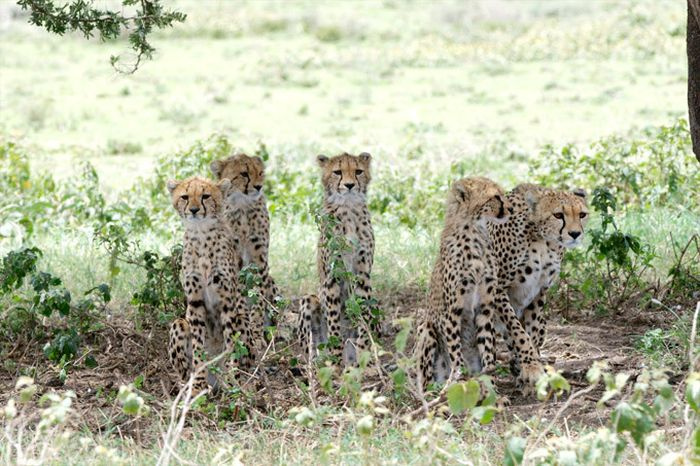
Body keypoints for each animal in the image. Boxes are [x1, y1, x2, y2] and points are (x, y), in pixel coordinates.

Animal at [167, 177, 260, 392]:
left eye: (205, 196)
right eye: (185, 197)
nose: (194, 210)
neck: (201, 233)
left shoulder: (227, 300)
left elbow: (231, 343)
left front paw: (234, 381)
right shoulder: (195, 302)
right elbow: (198, 348)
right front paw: (198, 385)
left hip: (242, 319)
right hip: (179, 323)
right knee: (183, 369)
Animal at [211, 153, 282, 328]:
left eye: (261, 173)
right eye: (244, 174)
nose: (259, 187)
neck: (242, 206)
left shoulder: (260, 256)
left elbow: (259, 292)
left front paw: (256, 320)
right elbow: (238, 294)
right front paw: (243, 317)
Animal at [300, 152, 380, 364]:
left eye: (358, 171)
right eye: (337, 172)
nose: (350, 185)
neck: (348, 209)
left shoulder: (362, 274)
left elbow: (362, 316)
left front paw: (363, 354)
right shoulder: (332, 276)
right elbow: (334, 319)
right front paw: (335, 358)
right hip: (309, 299)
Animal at [490, 184, 588, 362]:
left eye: (582, 214)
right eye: (558, 215)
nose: (575, 234)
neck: (544, 240)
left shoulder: (539, 290)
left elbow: (531, 329)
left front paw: (532, 358)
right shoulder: (498, 288)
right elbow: (516, 329)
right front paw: (528, 358)